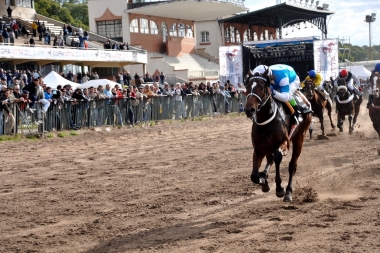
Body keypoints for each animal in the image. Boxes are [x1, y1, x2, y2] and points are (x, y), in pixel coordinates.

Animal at [243, 68, 312, 202]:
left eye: (261, 87)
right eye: (247, 87)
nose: (249, 110)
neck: (266, 120)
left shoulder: (284, 142)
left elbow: (278, 158)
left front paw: (280, 188)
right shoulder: (258, 148)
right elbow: (254, 176)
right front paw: (263, 180)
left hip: (300, 136)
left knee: (292, 165)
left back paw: (288, 192)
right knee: (270, 160)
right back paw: (264, 175)